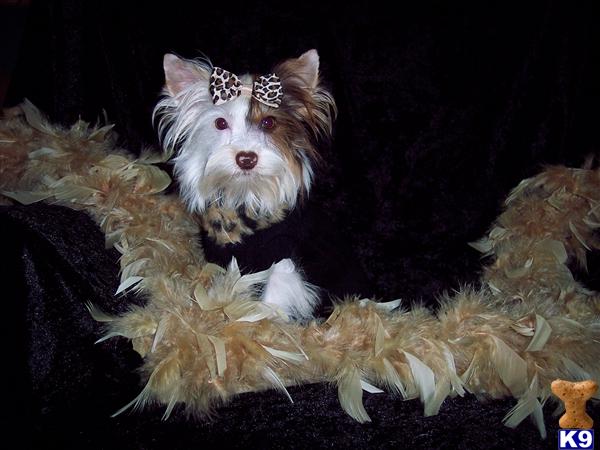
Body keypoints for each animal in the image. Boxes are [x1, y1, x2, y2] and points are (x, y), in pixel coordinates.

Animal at [152, 50, 368, 320]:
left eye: (268, 123)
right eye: (220, 123)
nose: (246, 158)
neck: (245, 195)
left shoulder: (281, 258)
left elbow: (273, 293)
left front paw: (263, 325)